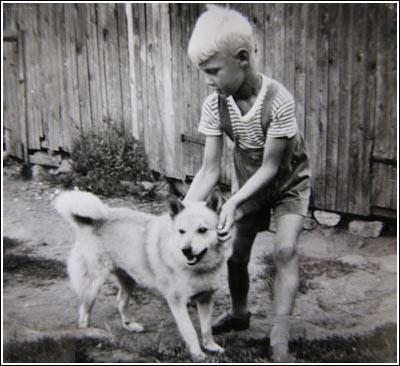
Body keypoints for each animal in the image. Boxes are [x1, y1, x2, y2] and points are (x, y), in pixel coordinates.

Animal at [54, 189, 233, 360]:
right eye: (181, 231)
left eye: (202, 230)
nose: (186, 250)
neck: (198, 268)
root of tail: (89, 221)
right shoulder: (177, 302)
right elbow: (190, 331)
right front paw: (197, 353)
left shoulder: (206, 298)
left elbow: (206, 328)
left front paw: (210, 346)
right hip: (93, 286)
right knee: (84, 312)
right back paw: (87, 334)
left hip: (128, 279)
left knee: (120, 301)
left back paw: (130, 324)